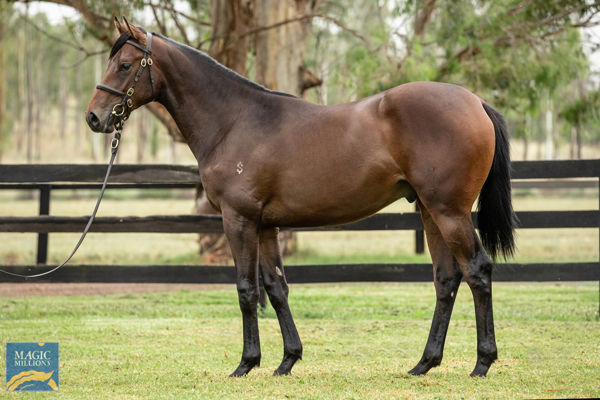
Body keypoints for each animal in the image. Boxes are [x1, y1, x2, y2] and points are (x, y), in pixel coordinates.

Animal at [84, 16, 516, 378]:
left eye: (125, 65)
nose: (94, 118)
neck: (234, 121)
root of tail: (475, 102)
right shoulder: (266, 226)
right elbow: (276, 288)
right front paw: (287, 360)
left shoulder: (238, 219)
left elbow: (246, 289)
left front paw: (246, 363)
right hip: (429, 211)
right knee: (446, 279)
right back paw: (424, 363)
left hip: (450, 212)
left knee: (477, 271)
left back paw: (482, 363)